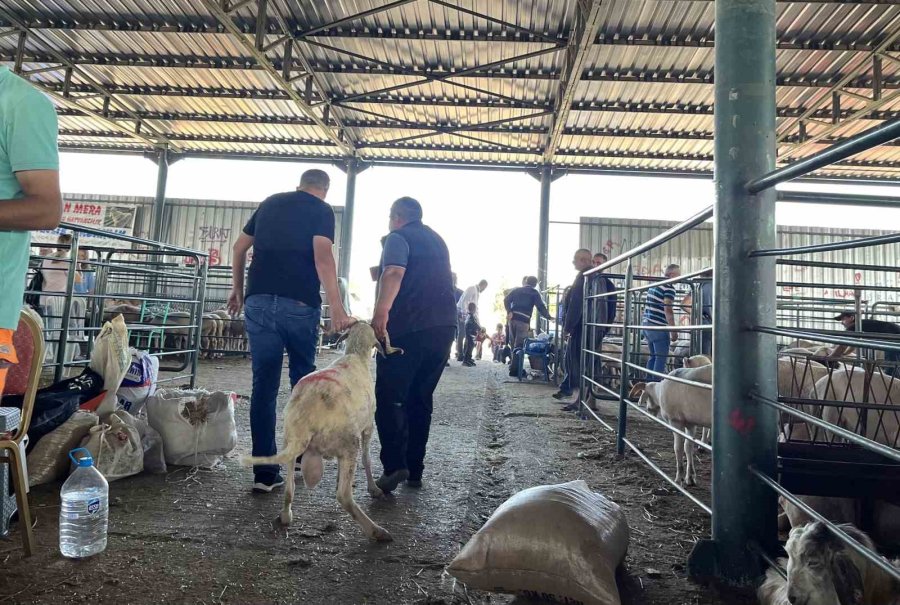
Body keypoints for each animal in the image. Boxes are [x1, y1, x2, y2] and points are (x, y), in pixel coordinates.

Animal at [244, 324, 402, 540]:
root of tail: (306, 416)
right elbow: (367, 459)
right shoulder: (368, 426)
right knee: (343, 495)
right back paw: (377, 531)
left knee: (290, 489)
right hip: (349, 443)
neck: (355, 354)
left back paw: (285, 516)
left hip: (290, 443)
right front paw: (374, 489)